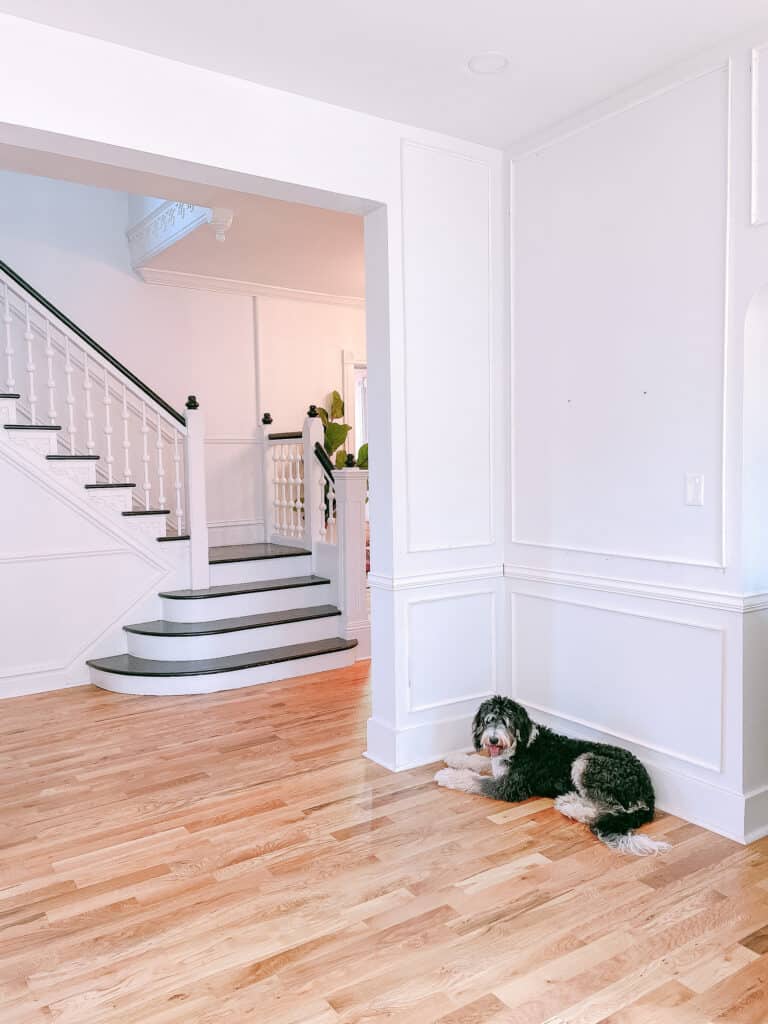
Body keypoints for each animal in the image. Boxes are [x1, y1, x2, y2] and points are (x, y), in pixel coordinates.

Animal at [436, 696, 671, 856]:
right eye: (489, 720)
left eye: (507, 722)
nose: (493, 740)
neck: (521, 744)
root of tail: (649, 792)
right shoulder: (500, 769)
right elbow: (479, 762)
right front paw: (455, 757)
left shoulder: (510, 787)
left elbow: (474, 780)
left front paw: (446, 775)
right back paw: (570, 800)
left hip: (586, 762)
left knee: (609, 810)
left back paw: (571, 807)